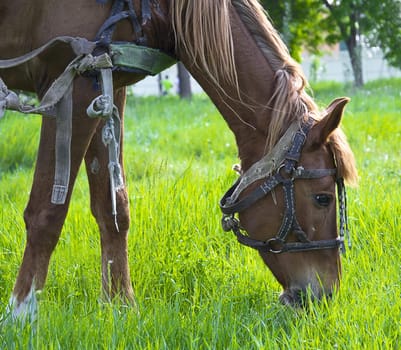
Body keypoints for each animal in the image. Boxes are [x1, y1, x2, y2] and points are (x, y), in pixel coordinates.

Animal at [0, 0, 356, 320]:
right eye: (323, 198)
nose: (325, 295)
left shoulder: (105, 87)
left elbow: (113, 208)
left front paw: (120, 307)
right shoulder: (71, 83)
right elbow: (47, 212)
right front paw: (21, 313)